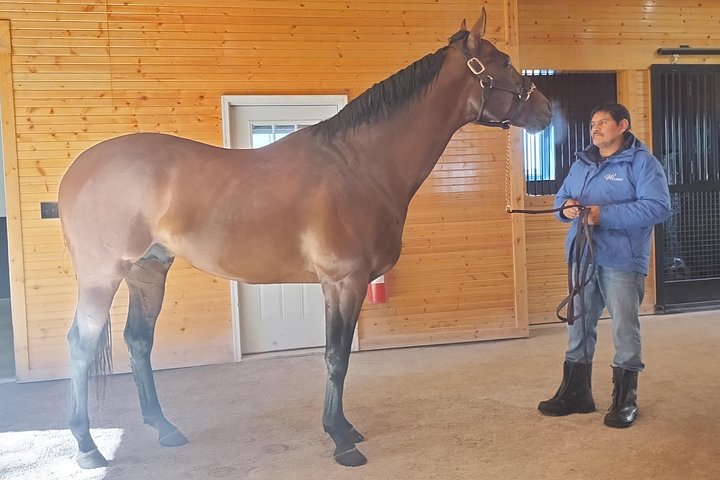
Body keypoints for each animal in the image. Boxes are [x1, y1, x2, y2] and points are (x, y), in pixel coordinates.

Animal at [58, 7, 551, 469]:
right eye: (505, 62)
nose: (547, 110)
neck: (362, 164)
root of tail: (77, 171)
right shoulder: (343, 281)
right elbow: (336, 357)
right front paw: (340, 441)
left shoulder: (341, 285)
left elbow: (339, 356)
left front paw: (345, 428)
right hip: (103, 277)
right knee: (80, 346)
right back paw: (88, 447)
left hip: (148, 270)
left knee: (138, 341)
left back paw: (164, 428)